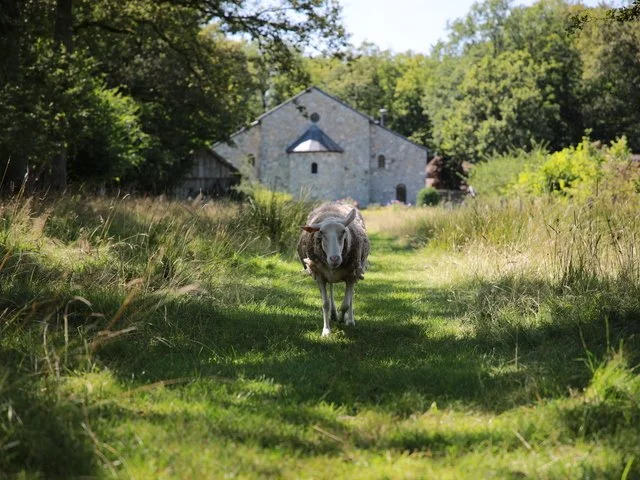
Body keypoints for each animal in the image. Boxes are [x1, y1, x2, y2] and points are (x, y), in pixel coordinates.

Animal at [297, 202, 370, 336]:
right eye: (321, 232)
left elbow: (346, 304)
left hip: (356, 271)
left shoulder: (351, 275)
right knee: (331, 287)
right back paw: (333, 314)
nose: (334, 258)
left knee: (350, 298)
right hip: (328, 276)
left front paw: (342, 319)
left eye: (344, 231)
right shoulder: (319, 275)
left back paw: (349, 320)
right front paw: (326, 330)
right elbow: (325, 304)